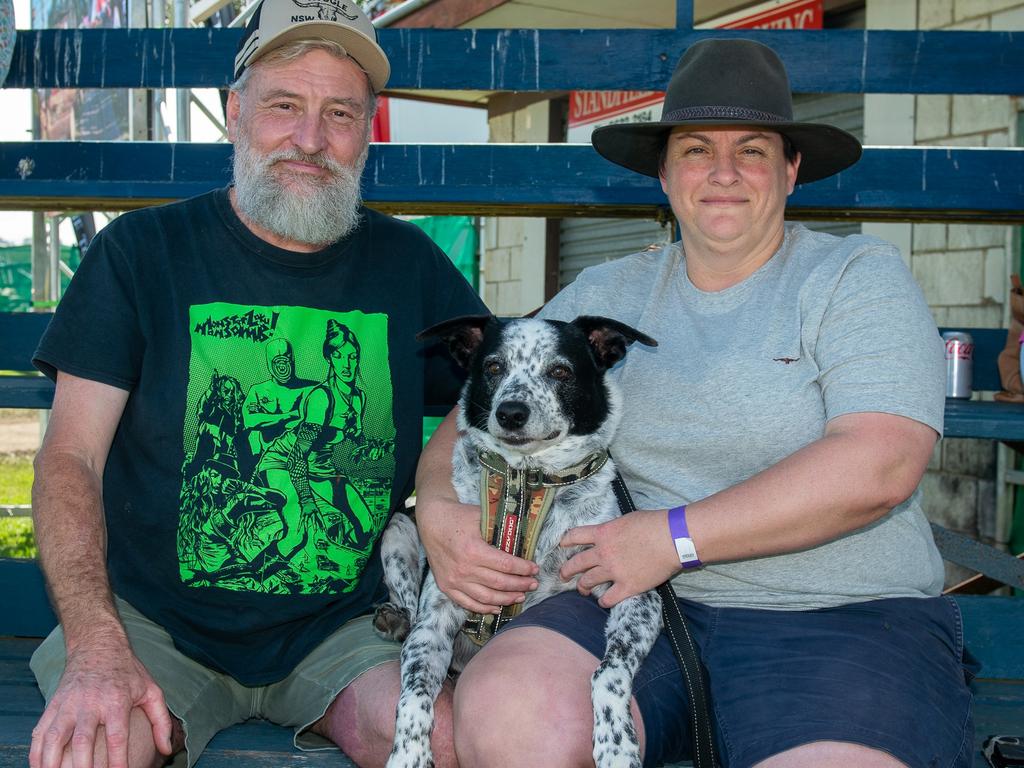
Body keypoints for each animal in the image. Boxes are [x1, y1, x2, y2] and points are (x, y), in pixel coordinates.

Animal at [376, 313, 663, 768]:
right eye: (494, 367)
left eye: (560, 371)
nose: (511, 412)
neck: (526, 483)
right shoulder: (437, 617)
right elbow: (414, 693)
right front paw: (408, 755)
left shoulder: (638, 595)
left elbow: (609, 673)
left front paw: (617, 746)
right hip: (400, 528)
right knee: (404, 598)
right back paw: (395, 618)